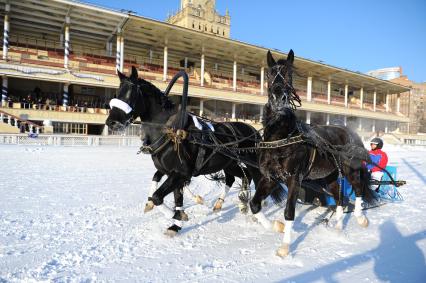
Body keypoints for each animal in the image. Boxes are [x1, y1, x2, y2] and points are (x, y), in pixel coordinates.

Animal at [105, 67, 284, 236]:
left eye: (131, 94)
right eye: (116, 93)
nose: (110, 122)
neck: (171, 131)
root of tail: (252, 129)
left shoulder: (181, 173)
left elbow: (158, 197)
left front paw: (176, 216)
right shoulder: (170, 172)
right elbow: (171, 194)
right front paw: (176, 224)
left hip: (251, 163)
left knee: (256, 178)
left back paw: (257, 209)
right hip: (229, 163)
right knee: (237, 178)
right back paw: (230, 203)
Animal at [250, 50, 376, 258]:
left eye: (289, 75)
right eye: (269, 74)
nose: (278, 96)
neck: (281, 137)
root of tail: (350, 133)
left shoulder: (294, 179)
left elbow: (289, 212)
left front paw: (285, 247)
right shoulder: (271, 178)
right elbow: (254, 205)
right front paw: (276, 226)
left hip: (349, 171)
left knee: (358, 190)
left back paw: (361, 219)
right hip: (328, 178)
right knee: (340, 198)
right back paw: (338, 229)